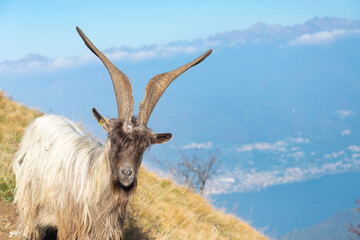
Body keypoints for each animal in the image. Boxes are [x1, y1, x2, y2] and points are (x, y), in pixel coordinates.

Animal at [12, 27, 212, 239]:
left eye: (143, 147)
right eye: (114, 139)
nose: (127, 173)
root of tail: (44, 119)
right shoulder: (71, 226)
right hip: (29, 198)